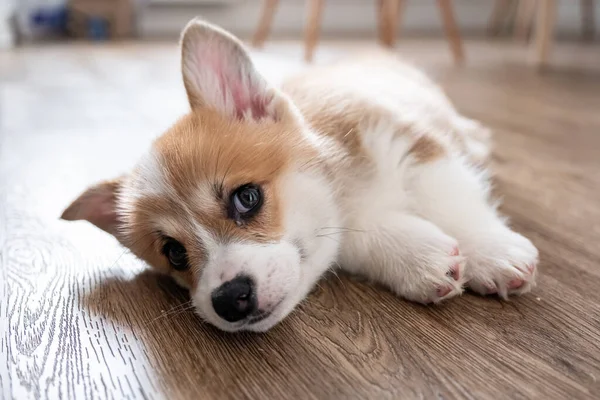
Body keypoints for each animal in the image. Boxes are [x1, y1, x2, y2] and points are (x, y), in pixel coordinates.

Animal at [61, 18, 540, 332]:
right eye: (174, 253)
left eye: (247, 197)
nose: (230, 301)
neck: (346, 185)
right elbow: (361, 238)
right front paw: (420, 260)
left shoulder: (412, 144)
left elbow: (453, 200)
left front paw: (494, 252)